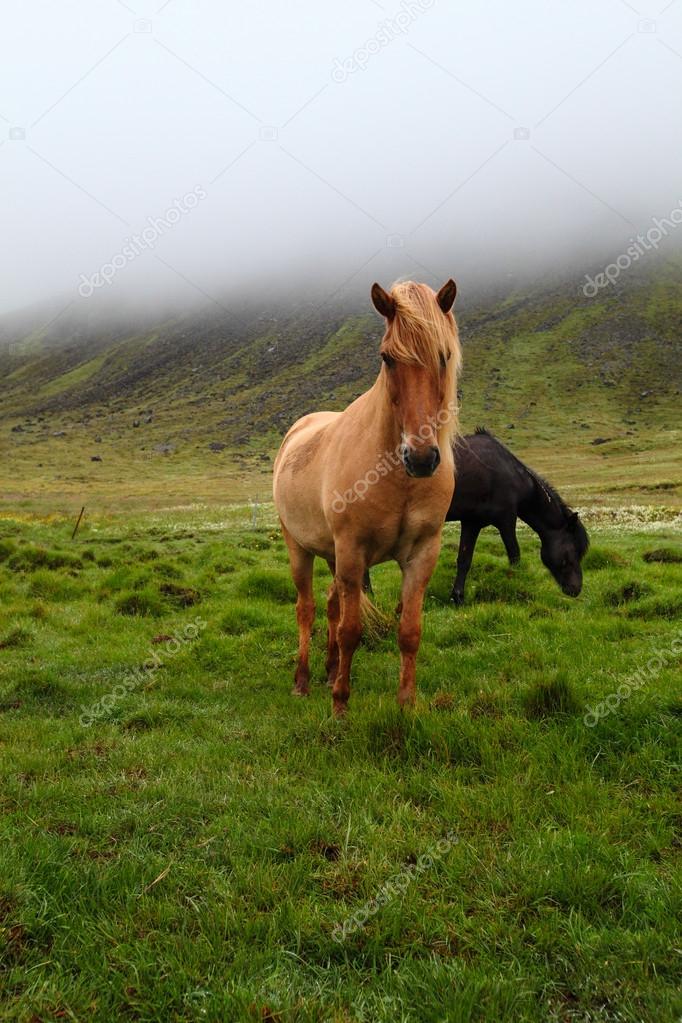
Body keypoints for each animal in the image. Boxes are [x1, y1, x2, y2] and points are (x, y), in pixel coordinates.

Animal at [274, 276, 462, 716]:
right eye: (387, 358)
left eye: (444, 355)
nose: (421, 458)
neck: (396, 476)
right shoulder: (353, 552)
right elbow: (351, 630)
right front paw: (341, 706)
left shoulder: (421, 555)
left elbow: (409, 630)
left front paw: (406, 704)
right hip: (300, 548)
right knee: (307, 609)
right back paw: (303, 680)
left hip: (333, 556)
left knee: (329, 604)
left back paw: (328, 672)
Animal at [447, 427, 593, 601]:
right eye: (574, 551)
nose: (576, 589)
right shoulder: (506, 521)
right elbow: (515, 556)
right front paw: (517, 588)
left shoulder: (472, 523)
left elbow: (464, 560)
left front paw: (457, 598)